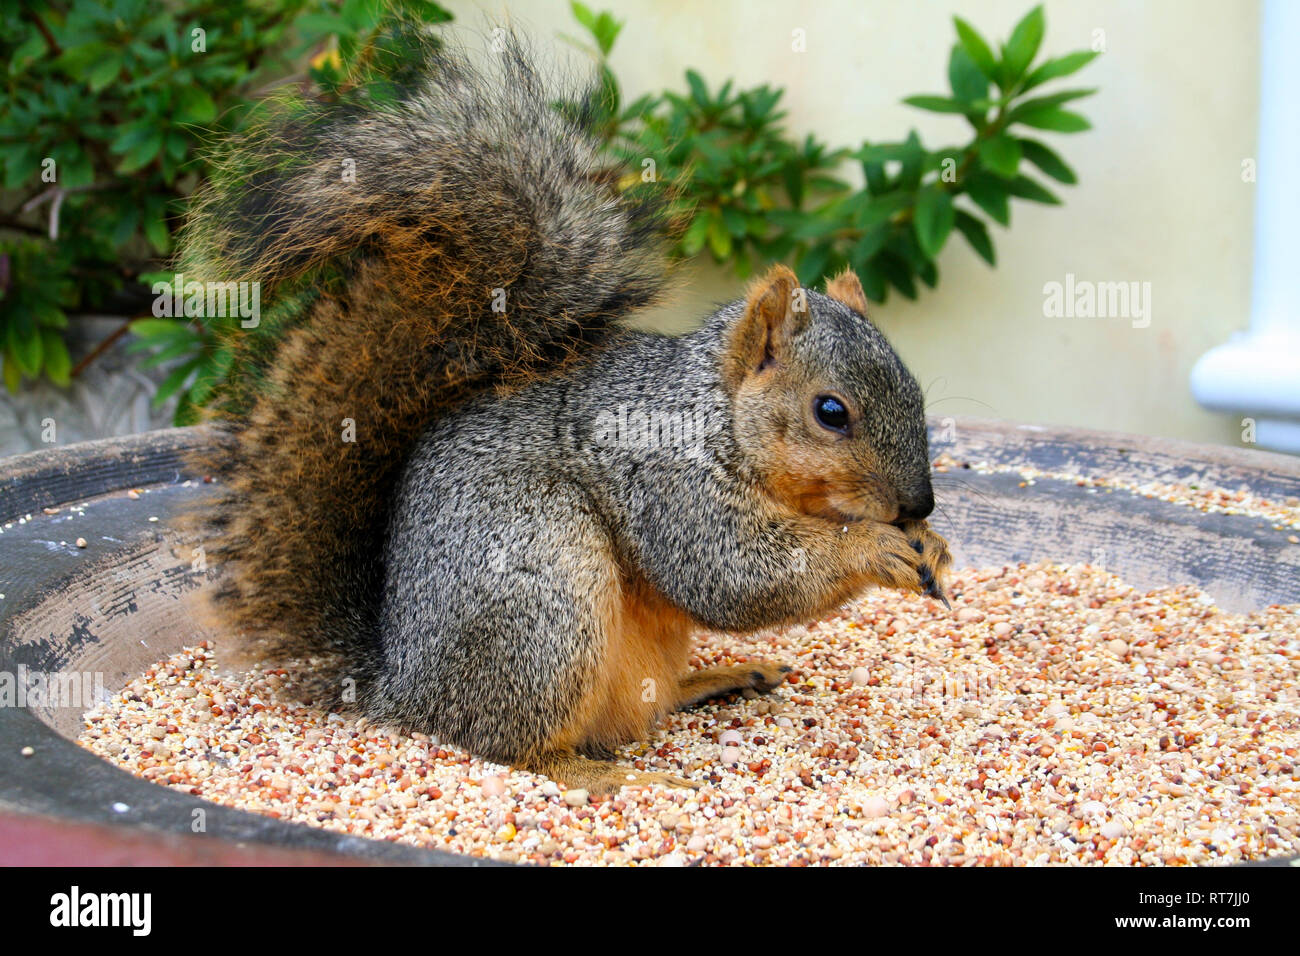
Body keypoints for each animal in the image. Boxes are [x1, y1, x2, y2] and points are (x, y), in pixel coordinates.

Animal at [180, 27, 956, 790]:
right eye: (831, 412)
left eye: (917, 388)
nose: (919, 503)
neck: (716, 412)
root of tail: (402, 688)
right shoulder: (668, 479)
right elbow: (734, 575)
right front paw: (874, 548)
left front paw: (934, 547)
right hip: (546, 590)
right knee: (517, 748)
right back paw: (615, 779)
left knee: (639, 705)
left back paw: (724, 677)